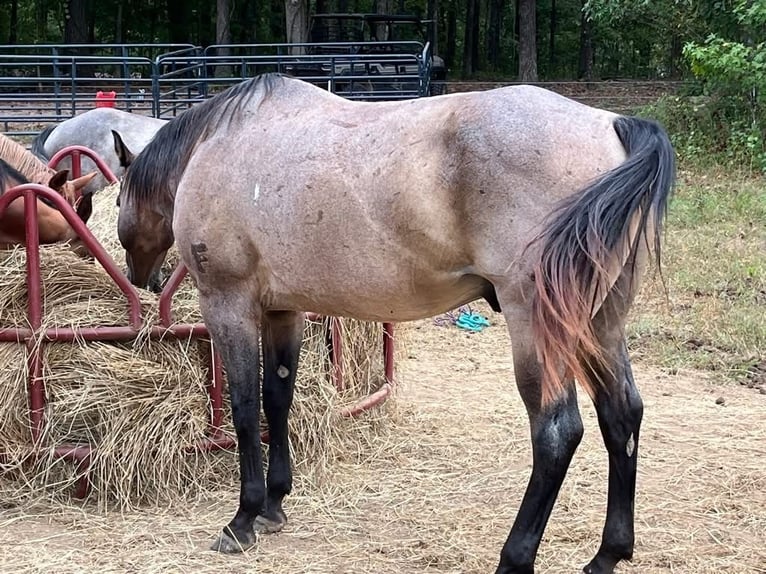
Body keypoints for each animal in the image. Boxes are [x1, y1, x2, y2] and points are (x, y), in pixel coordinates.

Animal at [115, 74, 680, 572]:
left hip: (538, 327)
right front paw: (275, 504)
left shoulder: (229, 305)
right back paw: (607, 555)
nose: (142, 278)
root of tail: (613, 124)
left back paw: (514, 558)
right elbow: (279, 399)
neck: (220, 144)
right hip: (599, 322)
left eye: (117, 200)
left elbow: (244, 409)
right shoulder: (282, 310)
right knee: (621, 414)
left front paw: (244, 517)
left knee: (557, 432)